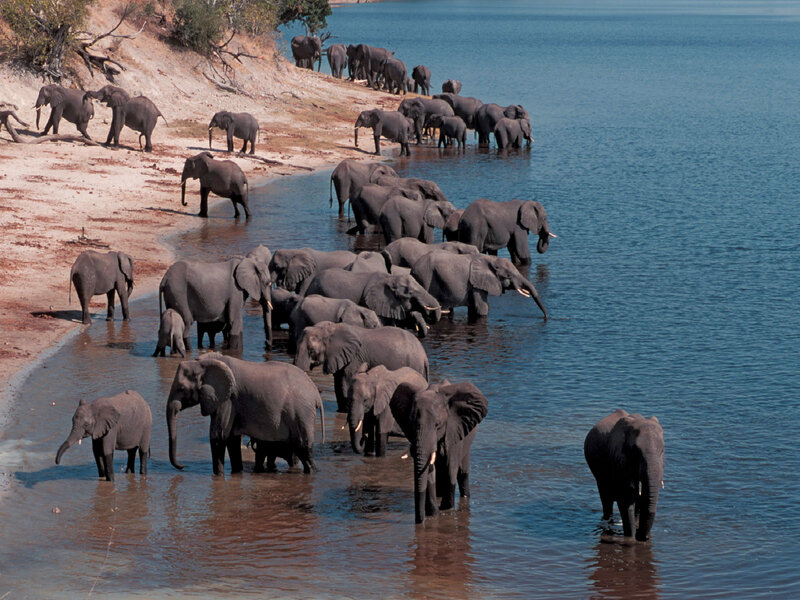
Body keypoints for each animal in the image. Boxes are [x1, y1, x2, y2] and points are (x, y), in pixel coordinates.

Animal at [167, 353, 323, 474]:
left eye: (182, 388)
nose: (183, 466)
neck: (203, 363)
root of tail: (316, 394)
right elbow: (232, 439)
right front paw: (236, 473)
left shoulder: (227, 400)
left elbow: (218, 437)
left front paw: (218, 476)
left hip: (300, 413)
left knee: (303, 447)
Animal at [294, 321, 429, 412]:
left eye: (312, 351)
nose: (320, 390)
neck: (331, 328)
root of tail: (424, 356)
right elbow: (338, 383)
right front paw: (342, 410)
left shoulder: (355, 358)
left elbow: (346, 382)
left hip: (414, 365)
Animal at [390, 380, 488, 524]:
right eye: (410, 424)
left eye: (437, 425)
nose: (419, 521)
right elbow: (430, 471)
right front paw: (433, 513)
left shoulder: (453, 431)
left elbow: (450, 469)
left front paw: (447, 509)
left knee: (462, 472)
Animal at [412, 251, 547, 320]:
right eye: (508, 275)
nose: (546, 317)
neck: (490, 259)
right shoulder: (475, 284)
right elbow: (482, 308)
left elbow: (474, 309)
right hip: (425, 278)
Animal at [584, 410, 665, 541]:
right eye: (636, 451)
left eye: (662, 451)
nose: (644, 537)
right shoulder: (619, 458)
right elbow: (627, 497)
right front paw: (631, 538)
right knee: (605, 497)